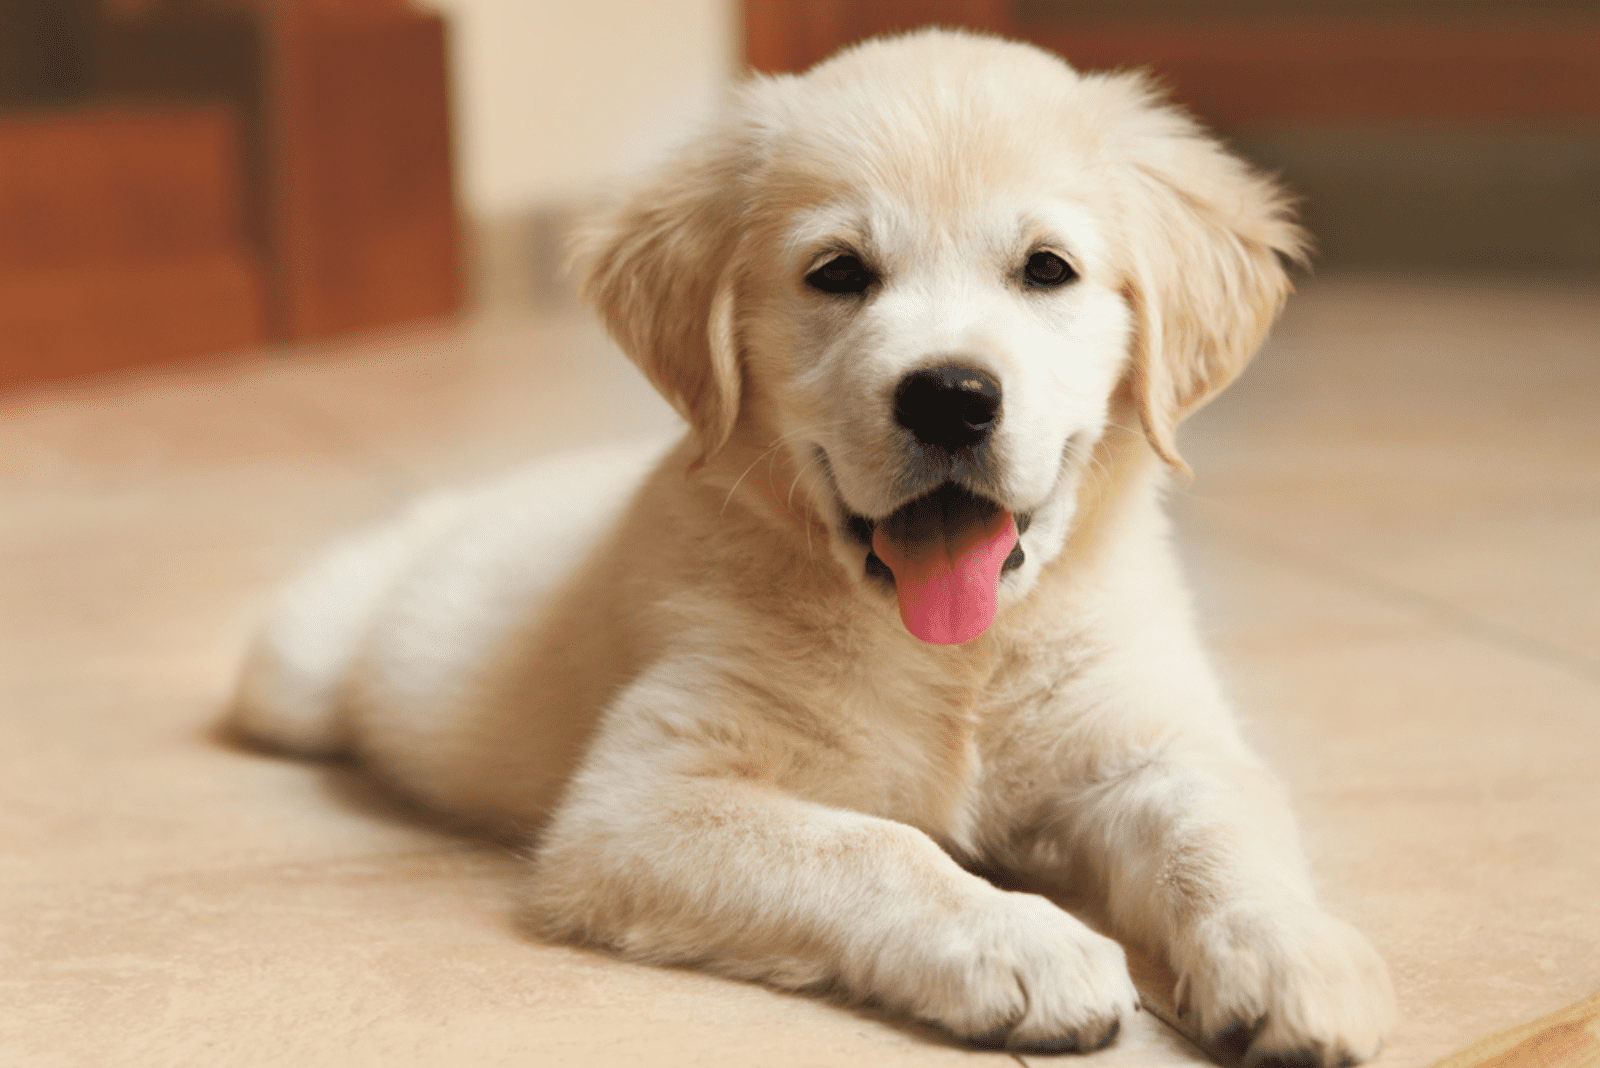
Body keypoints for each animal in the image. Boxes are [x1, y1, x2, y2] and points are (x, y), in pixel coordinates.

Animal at [232, 31, 1395, 1061]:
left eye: (1046, 270)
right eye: (838, 273)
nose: (950, 396)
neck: (957, 657)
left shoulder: (1155, 743)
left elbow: (1222, 832)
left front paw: (1297, 957)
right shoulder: (639, 802)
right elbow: (876, 845)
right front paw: (1021, 940)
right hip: (297, 669)